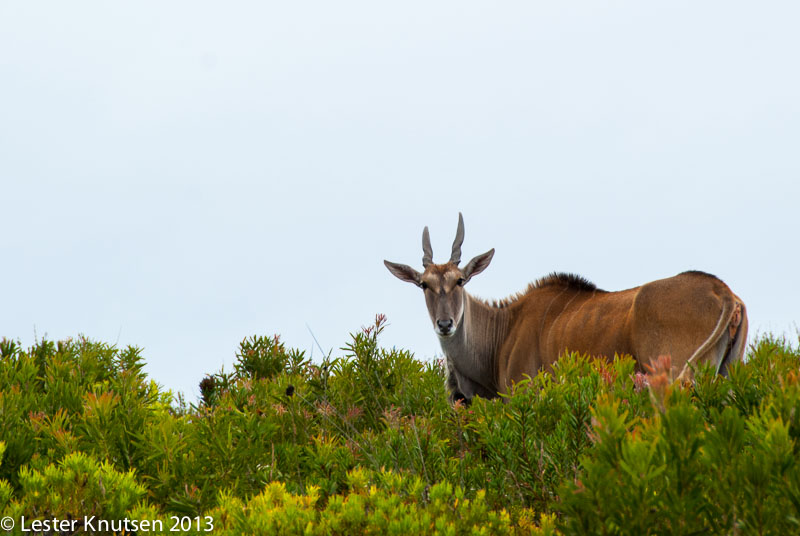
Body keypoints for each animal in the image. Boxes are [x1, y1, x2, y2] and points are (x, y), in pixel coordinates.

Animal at [384, 214, 748, 402]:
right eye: (423, 284)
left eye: (460, 280)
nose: (445, 324)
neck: (504, 328)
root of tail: (723, 292)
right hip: (728, 373)